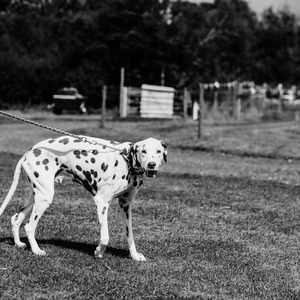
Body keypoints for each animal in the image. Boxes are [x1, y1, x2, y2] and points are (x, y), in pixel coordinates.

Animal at [0, 136, 166, 260]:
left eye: (158, 151)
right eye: (143, 151)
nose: (151, 165)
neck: (127, 161)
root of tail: (29, 152)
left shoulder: (126, 205)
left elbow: (129, 234)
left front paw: (135, 255)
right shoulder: (102, 202)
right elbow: (105, 237)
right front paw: (99, 251)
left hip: (36, 196)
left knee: (16, 218)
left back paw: (18, 244)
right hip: (44, 198)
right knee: (29, 226)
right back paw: (36, 250)